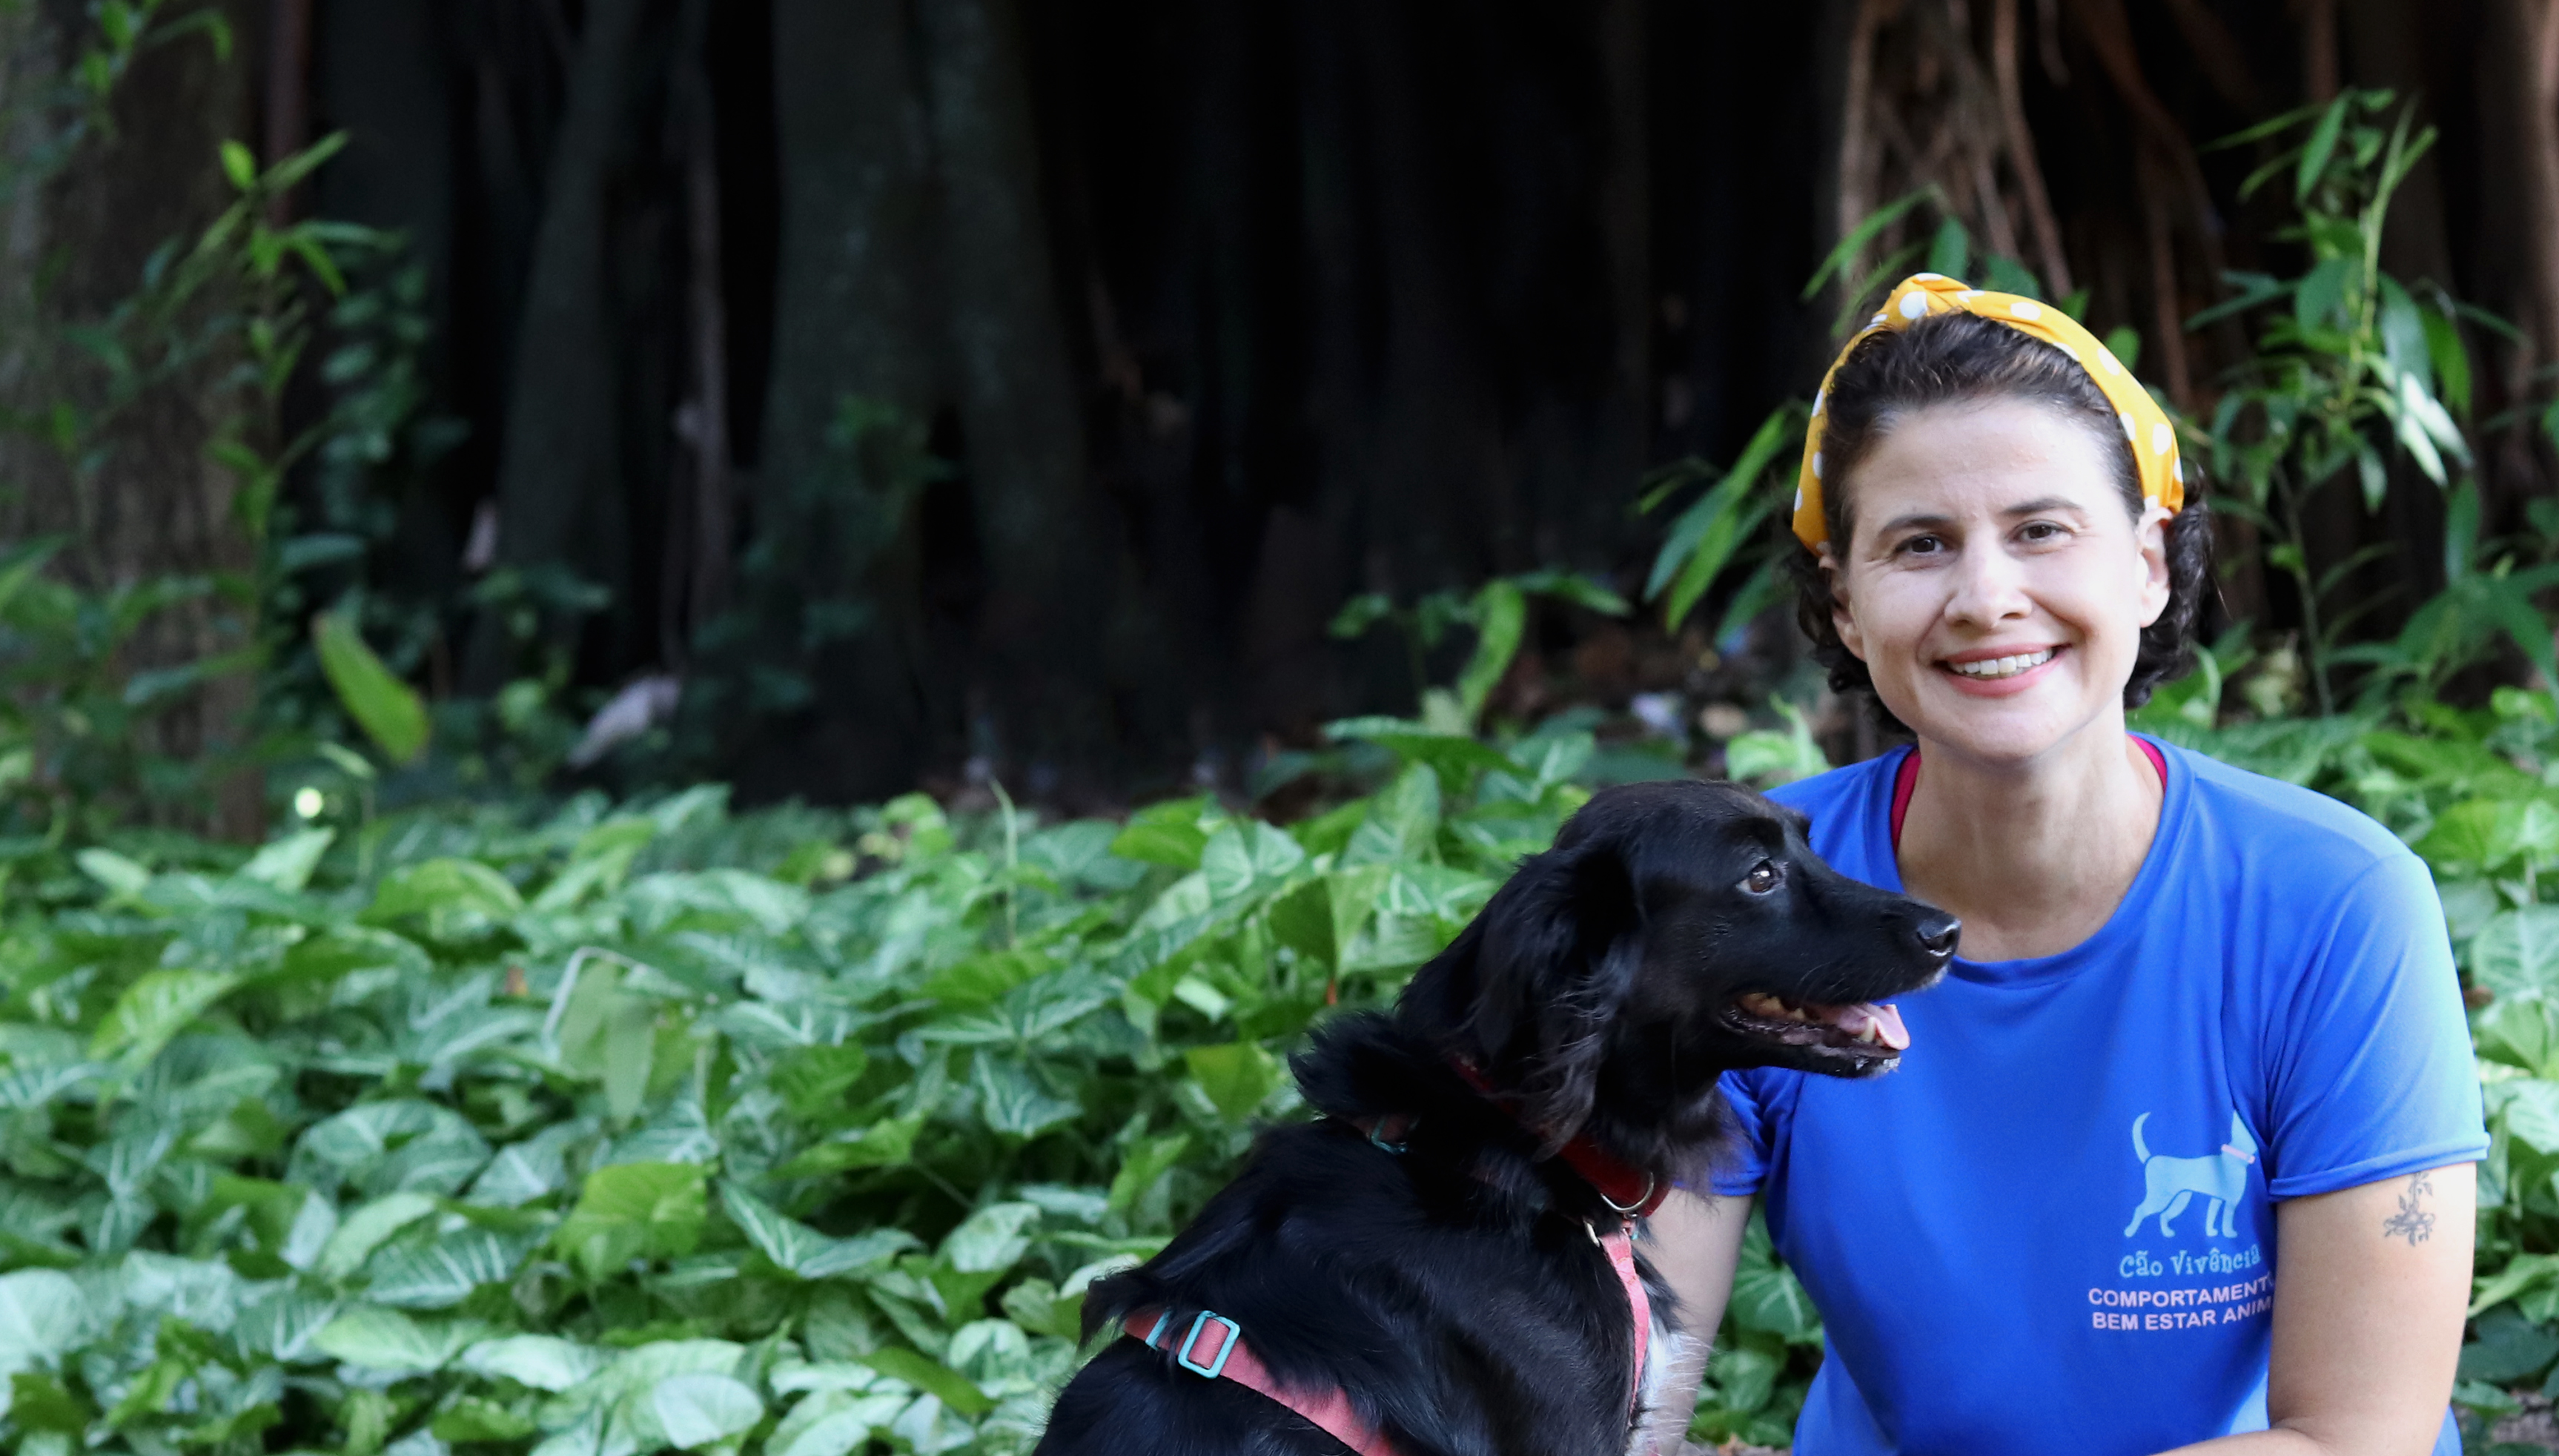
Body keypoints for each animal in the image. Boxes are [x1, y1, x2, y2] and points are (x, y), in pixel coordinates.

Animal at [2122, 1111, 2258, 1239]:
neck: (2233, 1157)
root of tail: (2150, 1158)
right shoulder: (2231, 1201)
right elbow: (2227, 1221)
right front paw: (2229, 1233)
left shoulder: (2217, 1199)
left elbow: (2211, 1217)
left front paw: (2211, 1232)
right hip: (2161, 1198)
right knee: (2140, 1210)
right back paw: (2130, 1232)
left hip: (2182, 1199)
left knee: (2164, 1215)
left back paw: (2167, 1233)